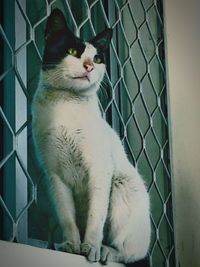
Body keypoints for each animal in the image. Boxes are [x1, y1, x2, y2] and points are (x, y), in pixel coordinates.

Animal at [31, 8, 150, 266]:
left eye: (97, 59)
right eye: (72, 52)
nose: (89, 67)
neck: (66, 106)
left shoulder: (99, 170)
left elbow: (96, 218)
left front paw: (90, 249)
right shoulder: (55, 176)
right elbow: (67, 218)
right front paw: (71, 246)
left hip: (121, 184)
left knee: (128, 252)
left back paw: (105, 251)